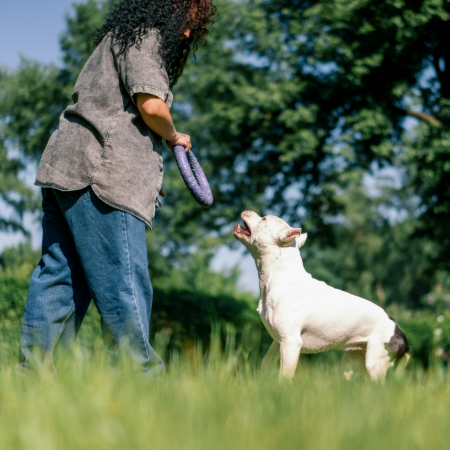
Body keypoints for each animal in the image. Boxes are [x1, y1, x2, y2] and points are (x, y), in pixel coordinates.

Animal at [234, 210, 410, 380]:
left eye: (264, 219)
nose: (248, 208)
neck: (278, 275)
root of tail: (401, 335)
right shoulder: (278, 342)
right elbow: (266, 363)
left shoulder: (290, 342)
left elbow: (284, 375)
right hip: (351, 362)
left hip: (375, 364)